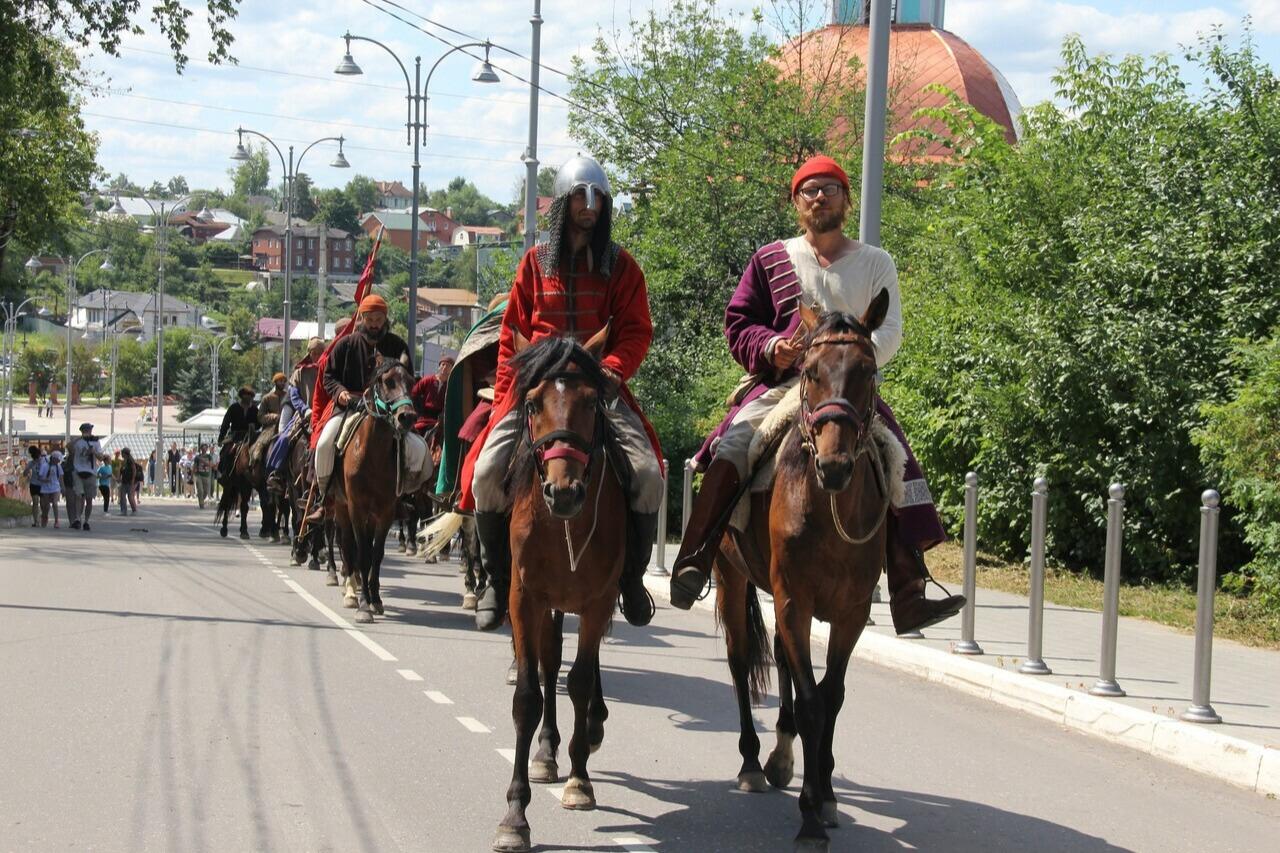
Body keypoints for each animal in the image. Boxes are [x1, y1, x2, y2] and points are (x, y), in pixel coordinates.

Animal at [330, 356, 414, 622]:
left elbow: (376, 554)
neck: (372, 455)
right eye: (388, 381)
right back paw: (350, 590)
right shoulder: (356, 508)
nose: (407, 417)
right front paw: (364, 605)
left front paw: (375, 599)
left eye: (411, 381)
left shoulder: (386, 512)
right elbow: (362, 554)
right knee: (347, 544)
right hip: (341, 508)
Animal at [491, 325, 627, 850]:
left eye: (592, 402)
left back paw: (586, 734)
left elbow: (582, 681)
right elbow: (529, 695)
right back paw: (547, 751)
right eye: (532, 404)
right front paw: (515, 815)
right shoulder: (524, 599)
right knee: (549, 665)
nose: (563, 491)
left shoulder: (598, 601)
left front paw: (580, 779)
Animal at [716, 294, 896, 850]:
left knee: (780, 660)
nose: (835, 466)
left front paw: (828, 794)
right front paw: (811, 815)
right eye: (812, 372)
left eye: (867, 371)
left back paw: (781, 755)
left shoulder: (850, 613)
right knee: (740, 661)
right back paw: (753, 763)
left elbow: (831, 698)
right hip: (731, 577)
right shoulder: (794, 601)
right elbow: (814, 701)